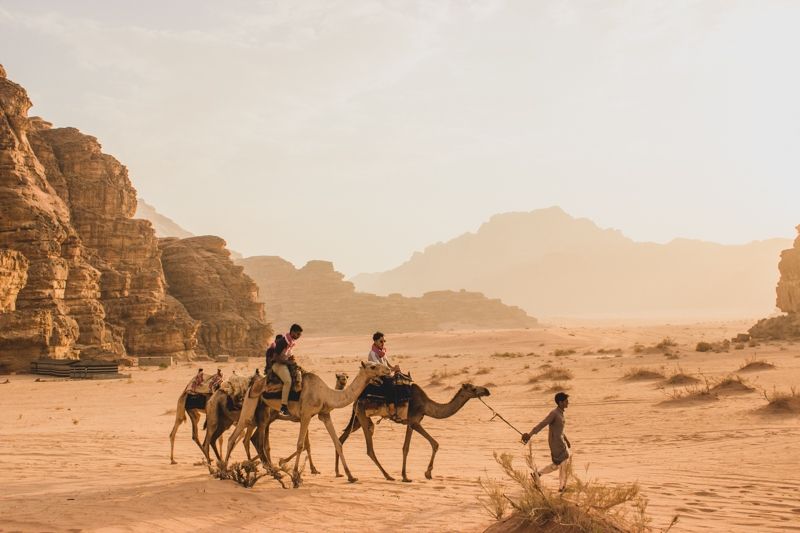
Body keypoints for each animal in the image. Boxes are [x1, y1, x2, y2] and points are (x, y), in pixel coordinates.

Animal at [225, 362, 390, 482]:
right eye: (373, 366)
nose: (388, 370)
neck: (326, 393)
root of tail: (252, 385)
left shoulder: (324, 415)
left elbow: (337, 443)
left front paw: (350, 476)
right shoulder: (305, 415)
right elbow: (300, 444)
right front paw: (295, 475)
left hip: (261, 411)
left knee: (253, 440)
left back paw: (269, 472)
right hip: (250, 404)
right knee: (235, 437)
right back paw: (224, 472)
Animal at [334, 382, 490, 482]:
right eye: (474, 389)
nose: (487, 390)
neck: (427, 406)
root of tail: (356, 400)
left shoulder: (410, 423)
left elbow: (406, 448)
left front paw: (405, 476)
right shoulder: (415, 422)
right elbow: (435, 443)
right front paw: (427, 473)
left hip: (358, 419)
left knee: (341, 439)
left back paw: (339, 473)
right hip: (362, 415)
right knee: (369, 449)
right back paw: (387, 476)